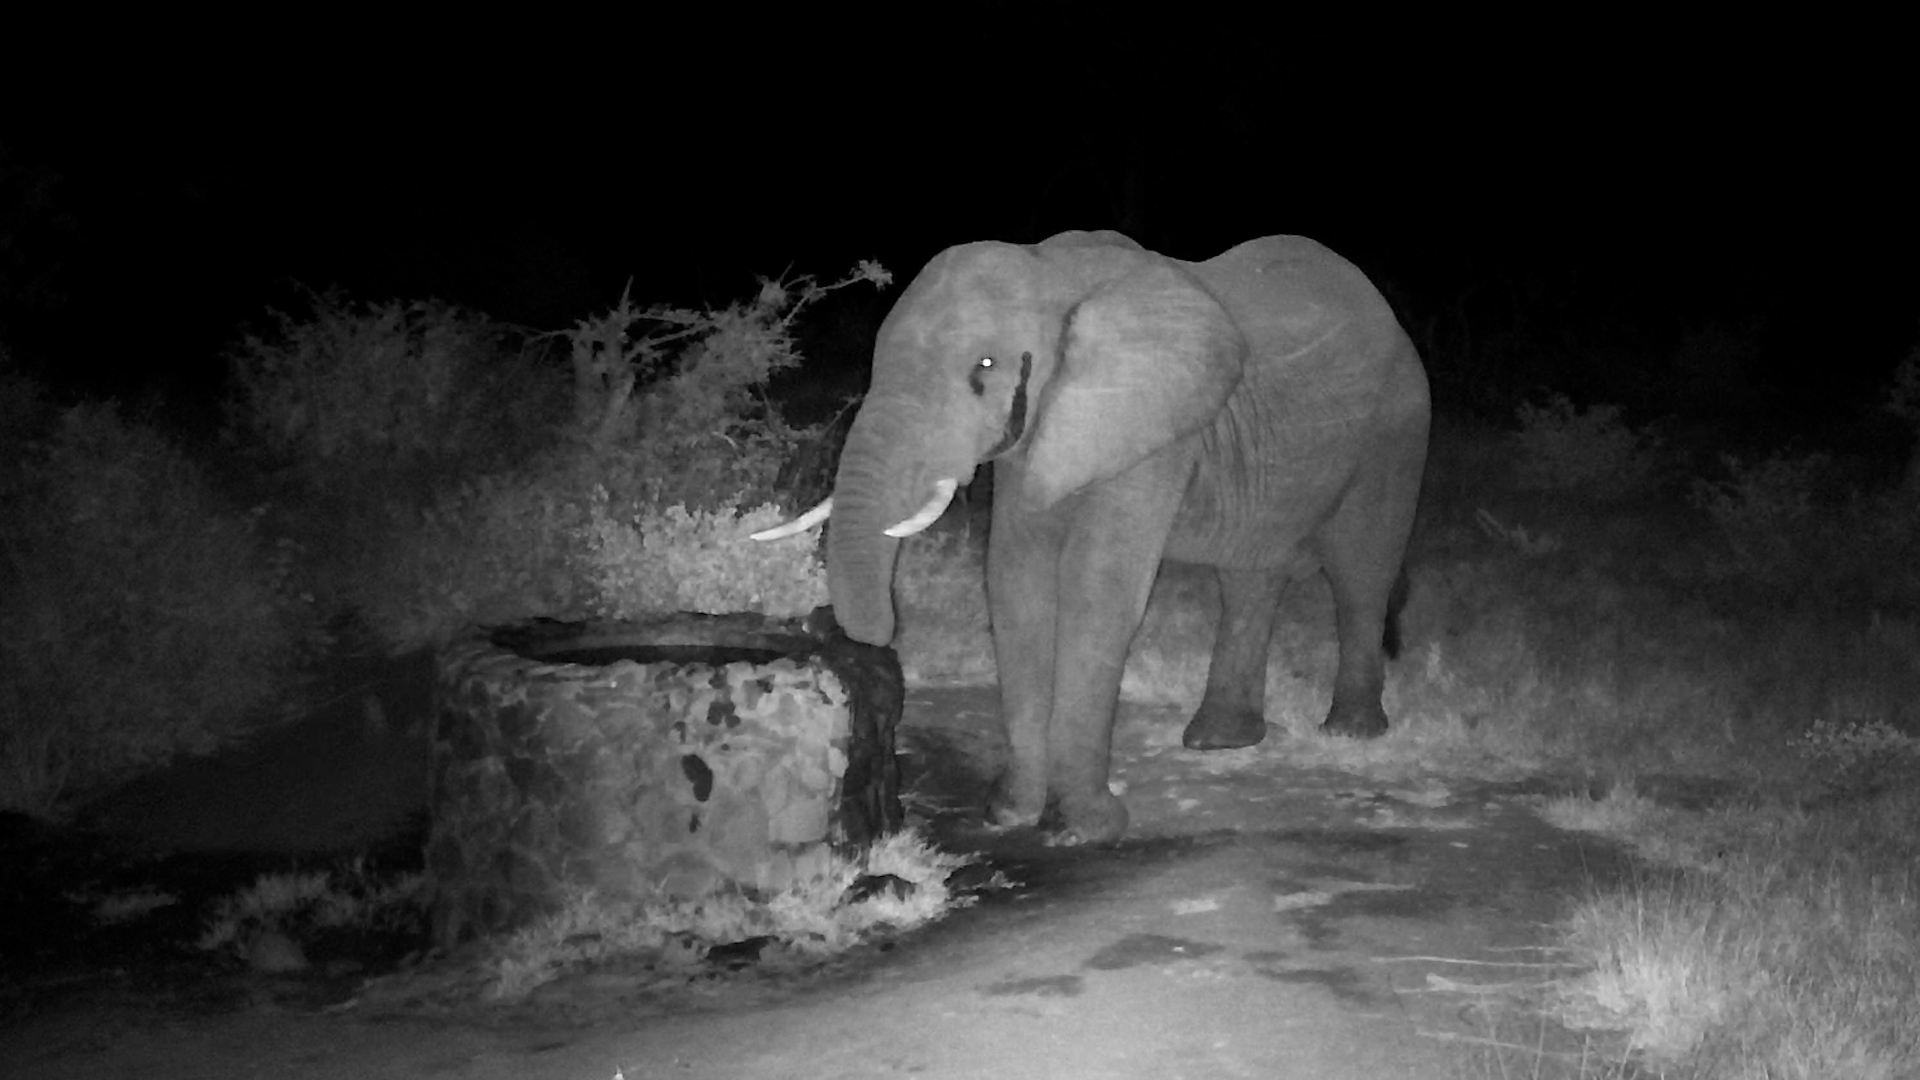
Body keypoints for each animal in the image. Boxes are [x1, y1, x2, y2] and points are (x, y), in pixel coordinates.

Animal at [755, 230, 1429, 844]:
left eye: (986, 367)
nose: (871, 636)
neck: (1050, 273)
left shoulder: (1150, 426)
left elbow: (1098, 590)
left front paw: (1083, 828)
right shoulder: (1035, 435)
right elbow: (1015, 582)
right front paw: (1010, 815)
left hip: (1395, 431)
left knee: (1361, 573)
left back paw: (1349, 732)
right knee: (1249, 578)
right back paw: (1219, 741)